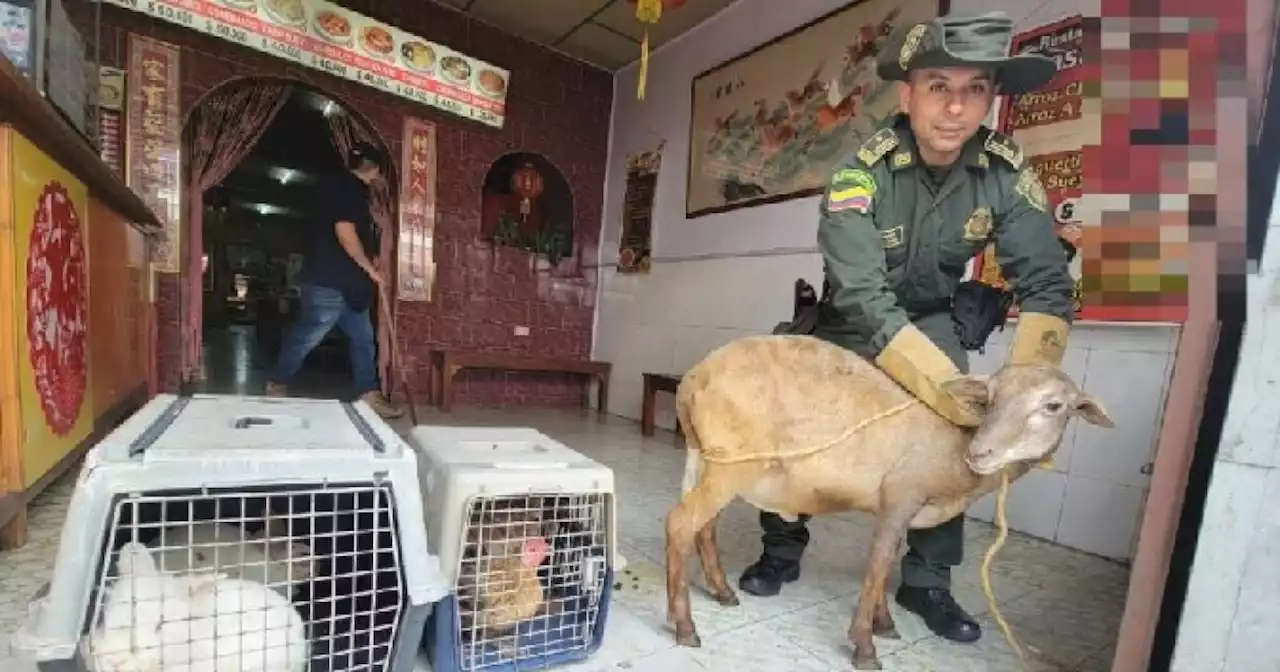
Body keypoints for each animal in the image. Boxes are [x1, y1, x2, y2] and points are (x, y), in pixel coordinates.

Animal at [665, 332, 1116, 665]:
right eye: (989, 398)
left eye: (1054, 406)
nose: (981, 452)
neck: (954, 446)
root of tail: (691, 380)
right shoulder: (901, 495)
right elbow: (879, 564)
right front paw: (865, 646)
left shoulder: (895, 507)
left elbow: (886, 564)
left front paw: (883, 624)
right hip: (731, 465)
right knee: (681, 524)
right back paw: (684, 625)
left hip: (711, 461)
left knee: (703, 527)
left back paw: (722, 592)